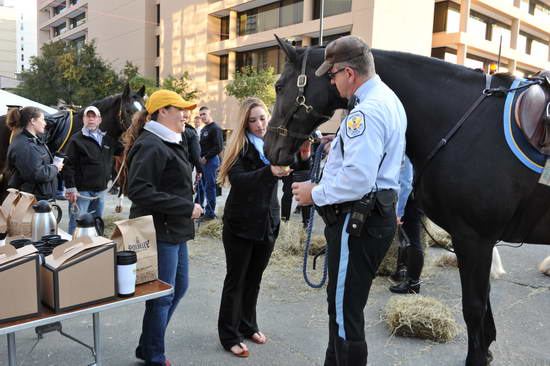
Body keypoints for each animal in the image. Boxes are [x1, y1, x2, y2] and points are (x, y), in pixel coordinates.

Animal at [266, 37, 548, 366]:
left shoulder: (474, 238)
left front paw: (477, 357)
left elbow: (474, 307)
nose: (271, 149)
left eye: (279, 86)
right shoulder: (481, 242)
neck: (465, 122)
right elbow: (484, 305)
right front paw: (487, 349)